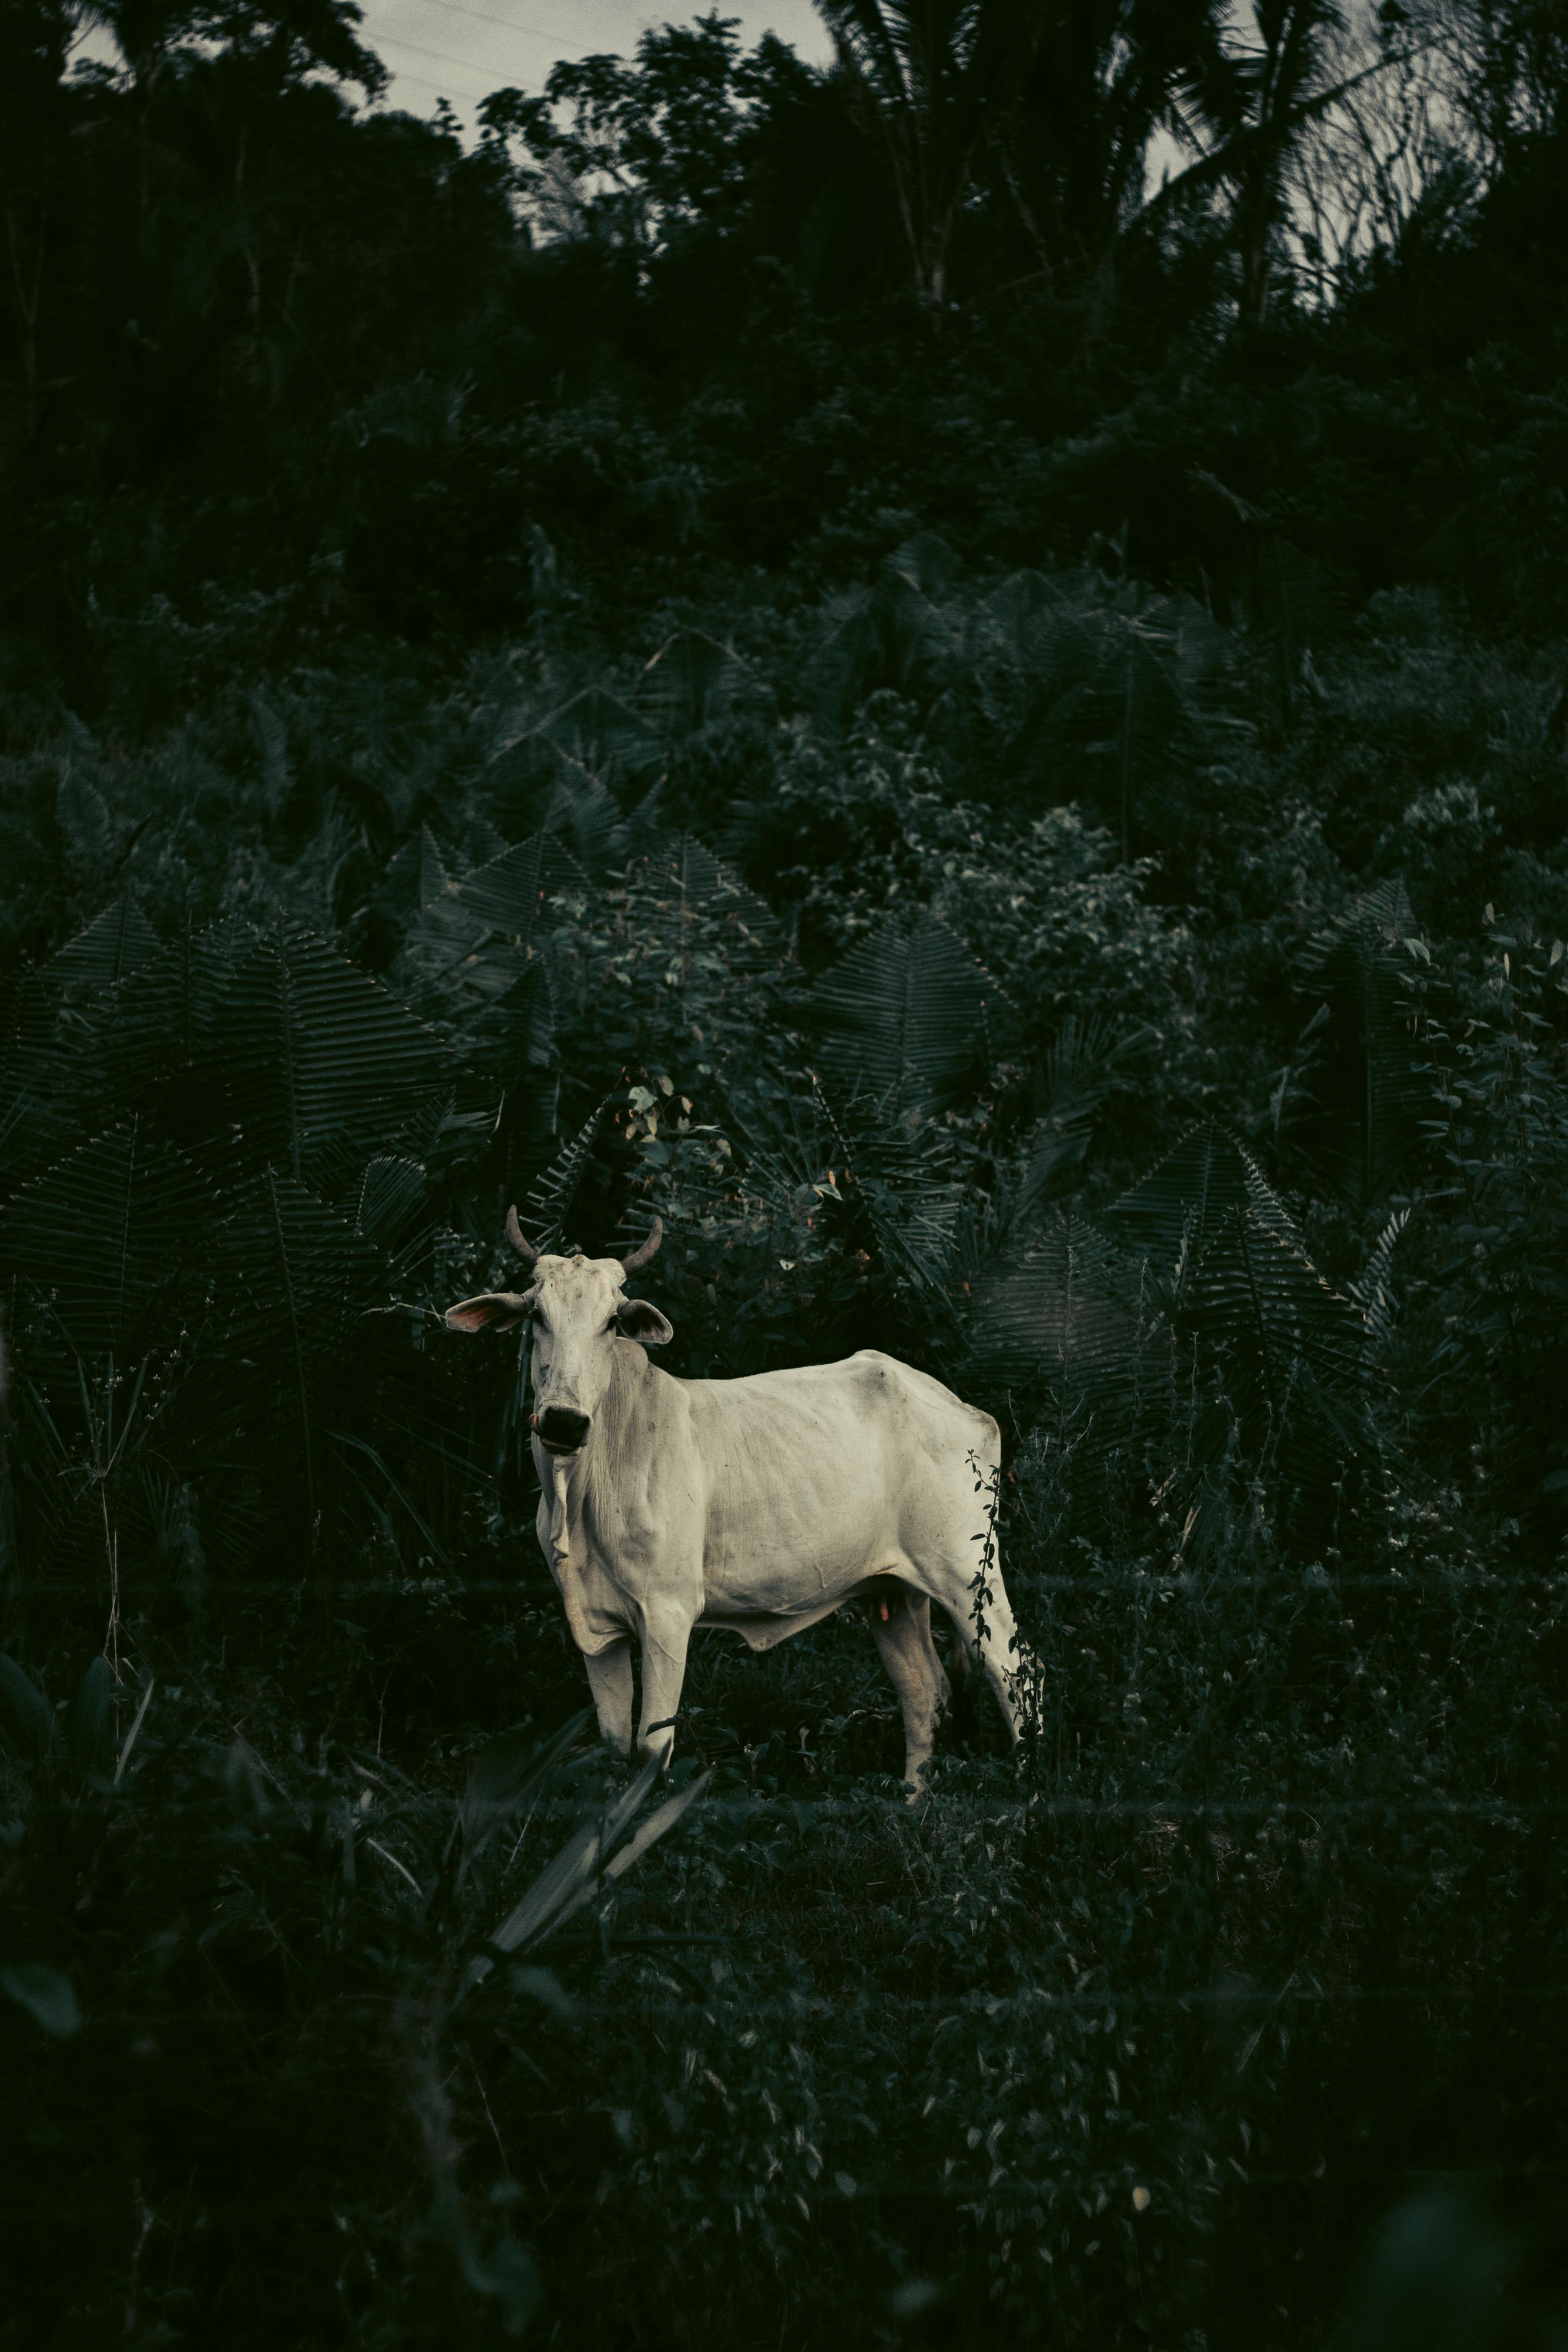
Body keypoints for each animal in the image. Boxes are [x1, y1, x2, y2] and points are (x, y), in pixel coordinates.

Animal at [445, 1210, 1029, 1786]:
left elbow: (652, 1749)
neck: (581, 1492)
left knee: (1015, 1674)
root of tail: (962, 1406)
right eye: (536, 1316)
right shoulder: (597, 1626)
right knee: (924, 1693)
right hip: (891, 1592)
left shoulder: (668, 1613)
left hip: (966, 1573)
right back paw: (911, 1798)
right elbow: (614, 1745)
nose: (564, 1421)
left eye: (611, 1322)